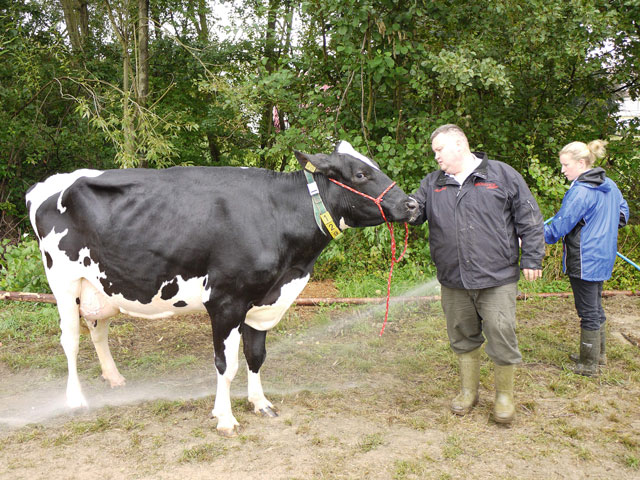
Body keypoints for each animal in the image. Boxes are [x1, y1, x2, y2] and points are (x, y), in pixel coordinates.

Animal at [26, 141, 420, 436]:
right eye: (361, 173)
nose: (412, 204)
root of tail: (44, 185)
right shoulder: (226, 301)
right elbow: (226, 364)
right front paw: (225, 417)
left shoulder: (263, 299)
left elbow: (256, 356)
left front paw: (260, 403)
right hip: (62, 281)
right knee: (70, 339)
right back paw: (76, 399)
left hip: (101, 283)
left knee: (98, 331)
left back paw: (114, 378)